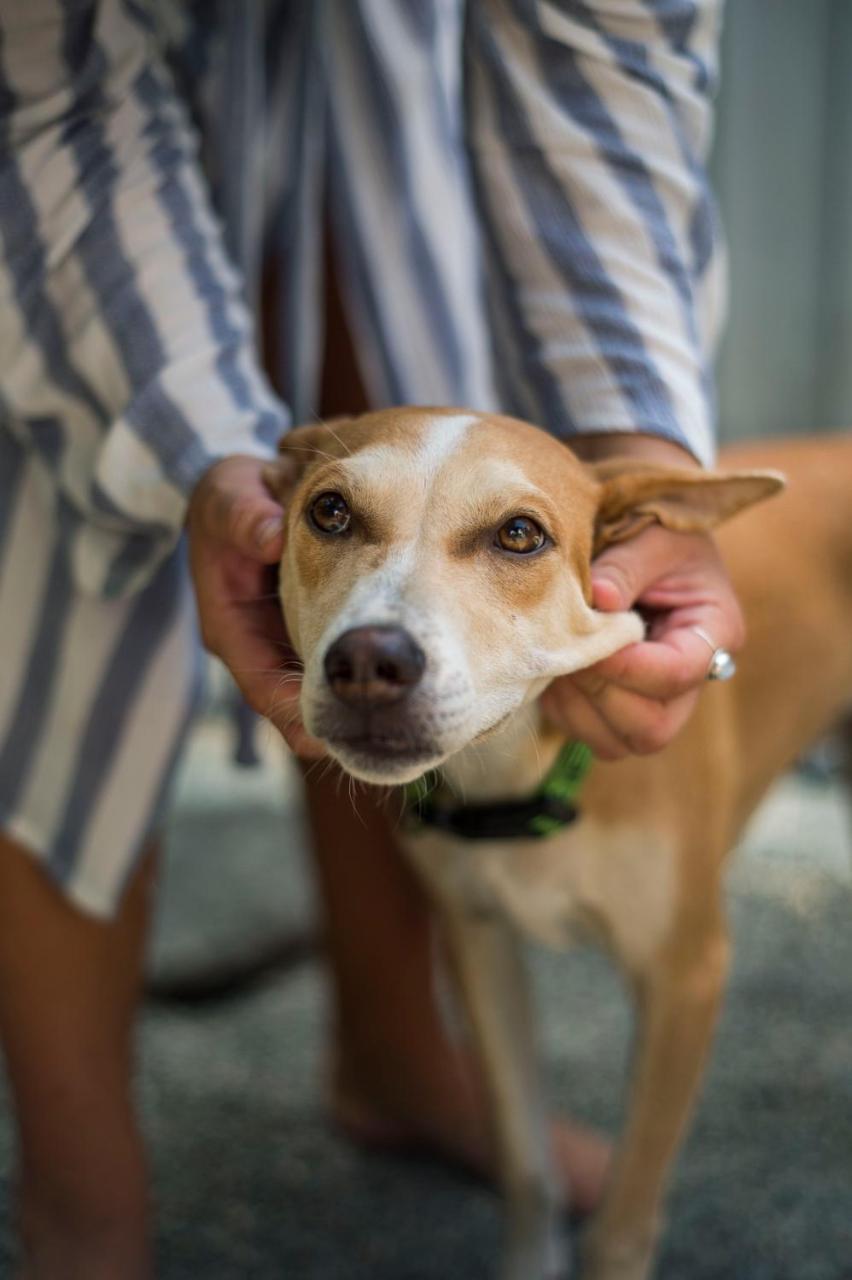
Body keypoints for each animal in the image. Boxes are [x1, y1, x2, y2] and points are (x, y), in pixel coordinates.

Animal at [266, 409, 849, 1280]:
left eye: (519, 534)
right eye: (329, 511)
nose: (369, 661)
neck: (518, 777)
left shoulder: (686, 975)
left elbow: (620, 1225)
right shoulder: (481, 947)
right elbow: (524, 1163)